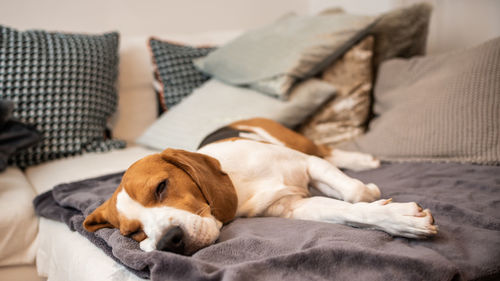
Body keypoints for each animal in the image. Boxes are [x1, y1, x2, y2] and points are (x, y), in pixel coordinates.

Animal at [84, 117, 436, 255]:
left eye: (160, 187)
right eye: (133, 232)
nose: (170, 241)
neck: (238, 185)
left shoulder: (307, 164)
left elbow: (355, 192)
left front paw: (375, 197)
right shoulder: (293, 206)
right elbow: (350, 210)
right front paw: (396, 219)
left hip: (302, 144)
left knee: (329, 151)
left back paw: (363, 161)